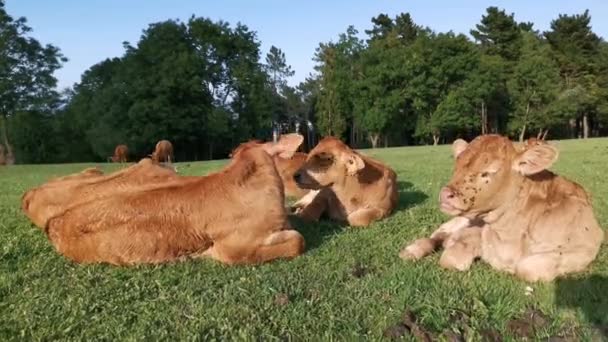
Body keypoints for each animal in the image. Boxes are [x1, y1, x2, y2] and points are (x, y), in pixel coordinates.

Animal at [400, 135, 604, 282]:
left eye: (488, 172)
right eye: (457, 166)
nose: (445, 194)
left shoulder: (584, 250)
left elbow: (527, 268)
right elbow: (450, 257)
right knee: (436, 235)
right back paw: (411, 251)